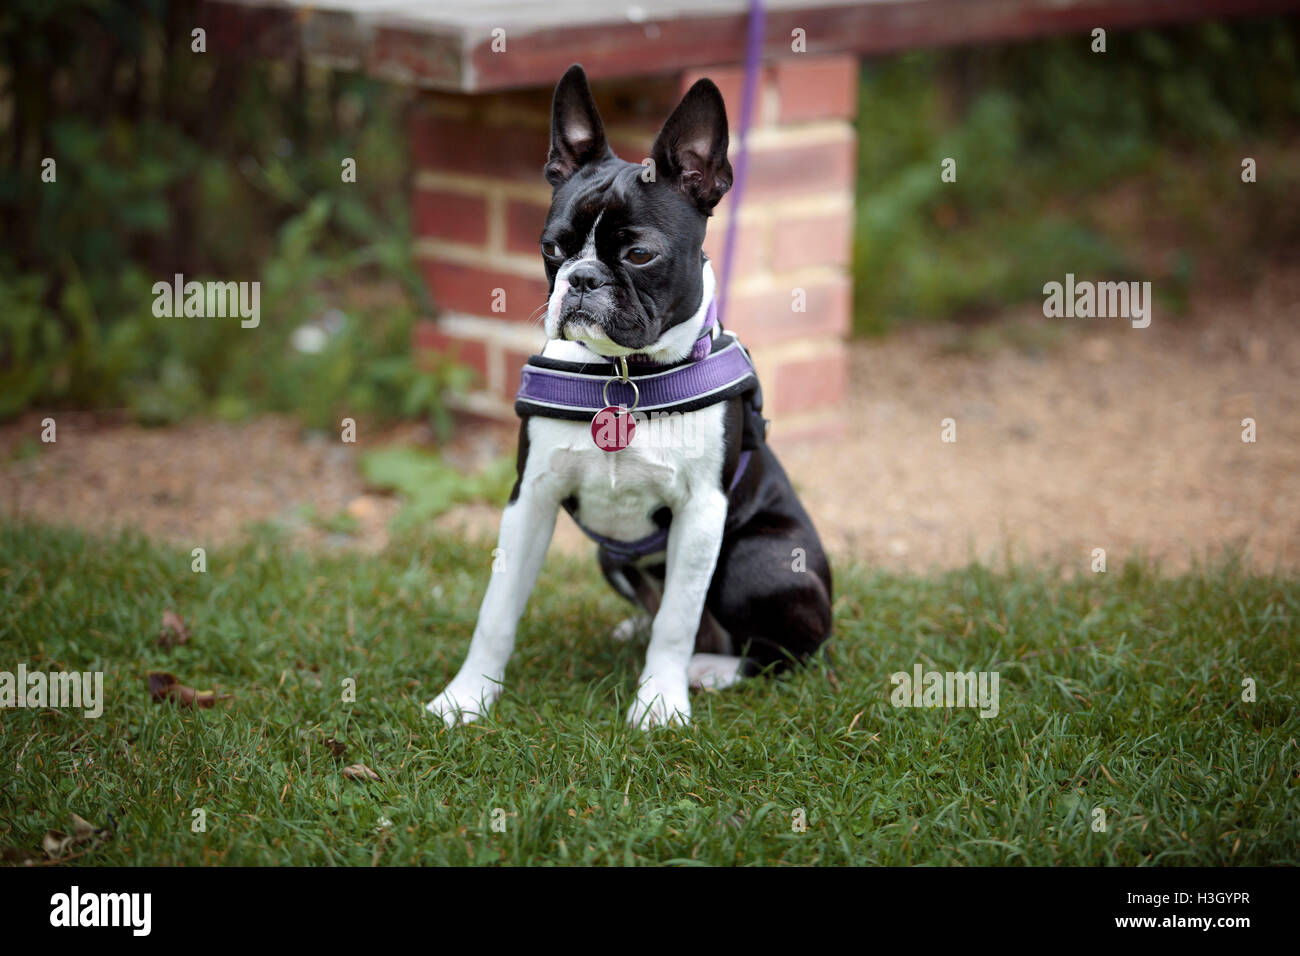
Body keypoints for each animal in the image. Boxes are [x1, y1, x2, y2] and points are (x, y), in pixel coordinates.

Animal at [426, 63, 832, 728]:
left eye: (640, 254)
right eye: (552, 248)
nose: (582, 279)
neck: (621, 377)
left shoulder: (702, 513)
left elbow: (677, 620)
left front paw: (660, 700)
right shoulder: (528, 500)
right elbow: (497, 609)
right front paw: (468, 695)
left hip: (760, 560)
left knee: (785, 650)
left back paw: (709, 668)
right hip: (611, 557)